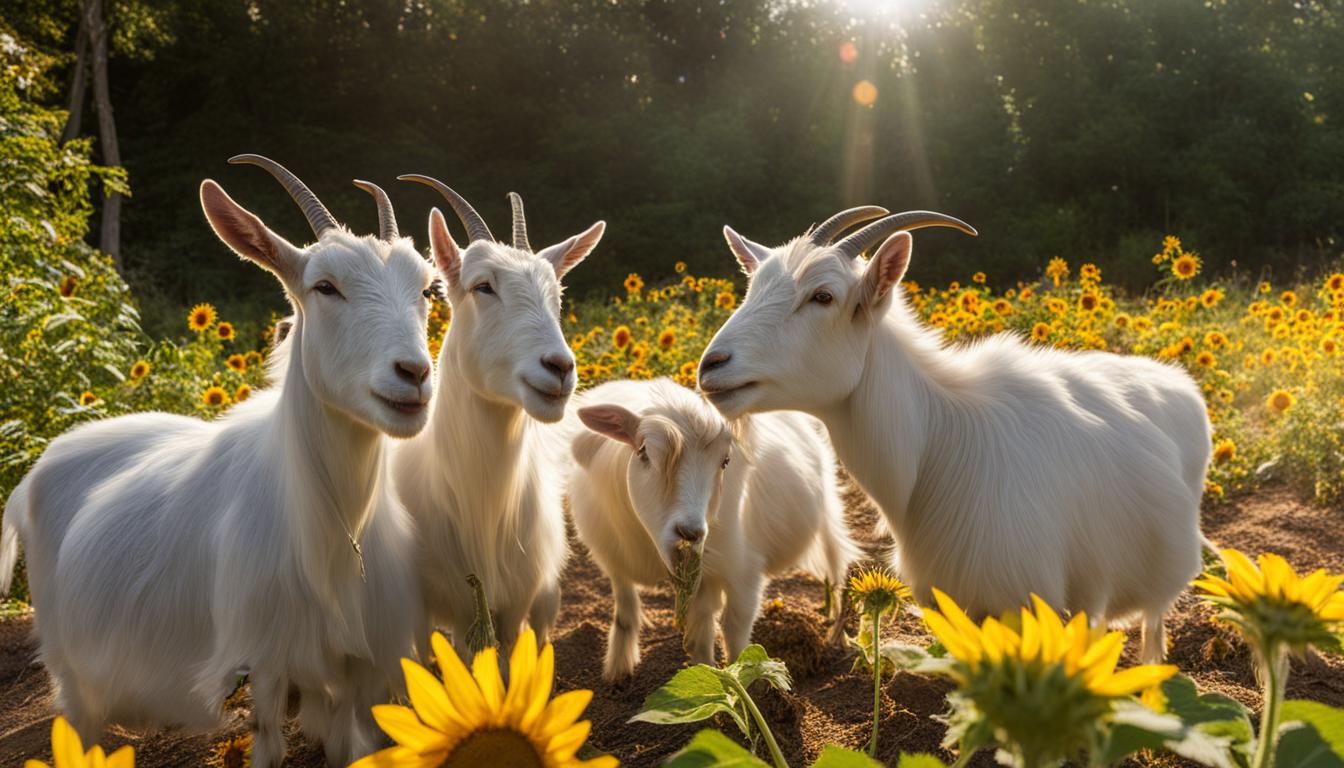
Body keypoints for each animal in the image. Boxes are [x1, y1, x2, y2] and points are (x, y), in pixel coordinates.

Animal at [0, 158, 435, 768]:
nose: (414, 374)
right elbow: (267, 745)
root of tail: (46, 461)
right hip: (70, 668)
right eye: (325, 286)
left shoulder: (355, 667)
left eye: (426, 288)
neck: (331, 526)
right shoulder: (264, 660)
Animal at [572, 376, 854, 677]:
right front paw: (617, 670)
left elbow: (735, 634)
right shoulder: (616, 561)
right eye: (643, 452)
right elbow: (627, 613)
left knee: (836, 565)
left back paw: (839, 634)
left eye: (725, 461)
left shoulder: (743, 571)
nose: (690, 532)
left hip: (829, 511)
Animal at [698, 207, 1214, 664]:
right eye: (752, 288)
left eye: (823, 296)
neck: (938, 438)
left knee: (1153, 623)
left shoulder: (1021, 598)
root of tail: (1178, 381)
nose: (711, 366)